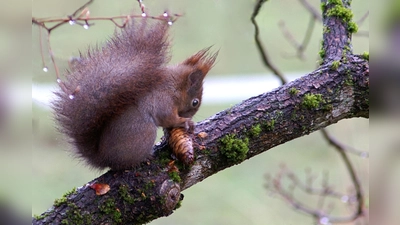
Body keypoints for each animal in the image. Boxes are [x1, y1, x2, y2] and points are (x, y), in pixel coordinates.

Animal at [53, 18, 217, 170]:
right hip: (145, 133)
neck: (174, 86)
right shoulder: (163, 100)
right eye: (195, 102)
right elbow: (167, 118)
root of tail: (105, 159)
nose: (190, 116)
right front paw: (185, 122)